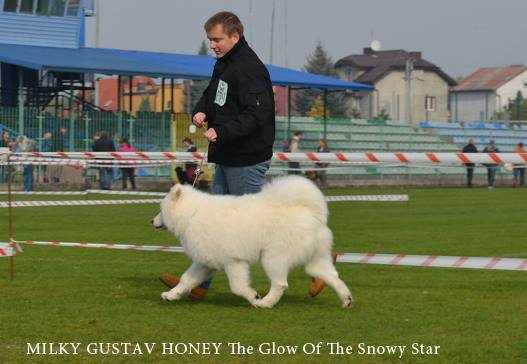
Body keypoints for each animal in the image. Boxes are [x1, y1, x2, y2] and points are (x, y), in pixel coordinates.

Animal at [151, 176, 352, 308]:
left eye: (160, 209)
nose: (152, 221)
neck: (192, 213)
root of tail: (309, 212)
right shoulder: (204, 262)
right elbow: (186, 279)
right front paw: (171, 294)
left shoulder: (234, 262)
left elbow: (238, 287)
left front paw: (253, 296)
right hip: (315, 259)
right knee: (331, 275)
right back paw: (346, 299)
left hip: (272, 257)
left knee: (280, 284)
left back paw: (265, 303)